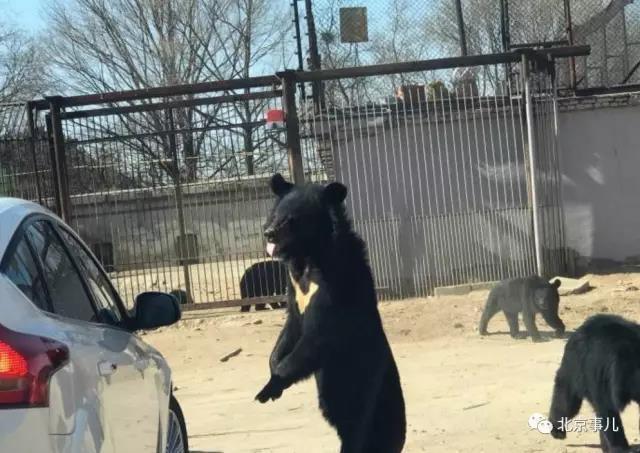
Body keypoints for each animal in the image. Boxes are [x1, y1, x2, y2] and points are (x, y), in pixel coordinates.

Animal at [254, 174, 404, 452]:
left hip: (362, 389)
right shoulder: (293, 289)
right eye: (275, 214)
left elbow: (318, 335)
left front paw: (268, 388)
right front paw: (272, 371)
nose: (268, 233)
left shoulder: (335, 284)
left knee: (360, 433)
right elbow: (291, 326)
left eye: (291, 219)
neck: (307, 258)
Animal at [544, 314, 640, 452]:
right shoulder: (603, 374)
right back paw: (558, 432)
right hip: (573, 368)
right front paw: (622, 449)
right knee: (567, 402)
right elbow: (607, 408)